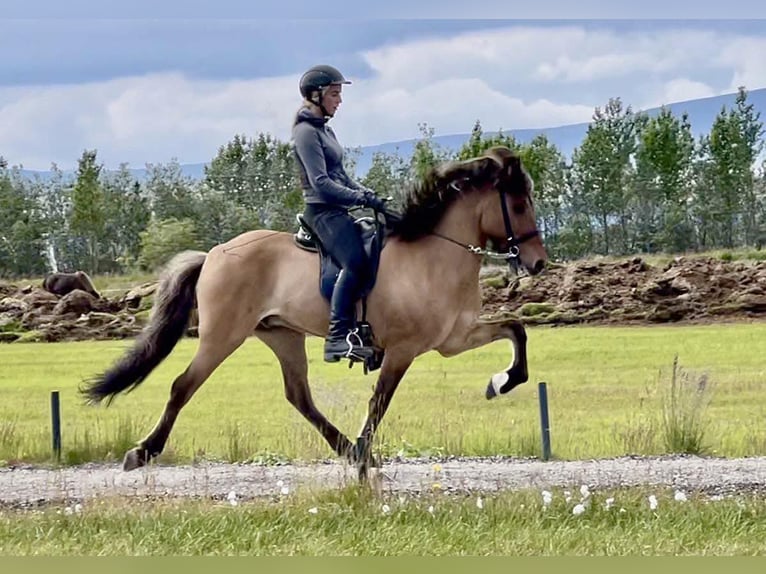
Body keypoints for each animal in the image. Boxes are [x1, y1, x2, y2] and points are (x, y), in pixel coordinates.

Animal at [82, 146, 552, 480]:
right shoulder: (404, 349)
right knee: (183, 386)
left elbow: (517, 329)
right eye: (519, 204)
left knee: (298, 395)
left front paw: (500, 382)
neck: (435, 256)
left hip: (281, 334)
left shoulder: (453, 339)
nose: (537, 263)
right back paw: (142, 452)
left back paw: (345, 448)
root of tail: (214, 253)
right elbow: (380, 400)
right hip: (223, 336)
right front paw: (363, 457)